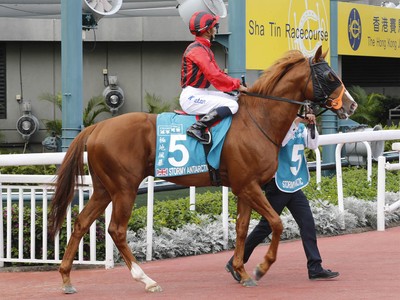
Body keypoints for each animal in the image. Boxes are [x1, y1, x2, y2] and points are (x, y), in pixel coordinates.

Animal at [48, 47, 358, 292]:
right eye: (330, 76)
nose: (352, 105)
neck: (258, 119)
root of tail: (97, 127)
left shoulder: (245, 187)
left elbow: (243, 228)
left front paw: (241, 271)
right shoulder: (248, 185)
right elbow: (276, 223)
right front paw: (261, 267)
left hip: (104, 189)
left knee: (81, 223)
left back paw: (66, 277)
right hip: (124, 188)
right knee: (117, 229)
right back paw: (146, 279)